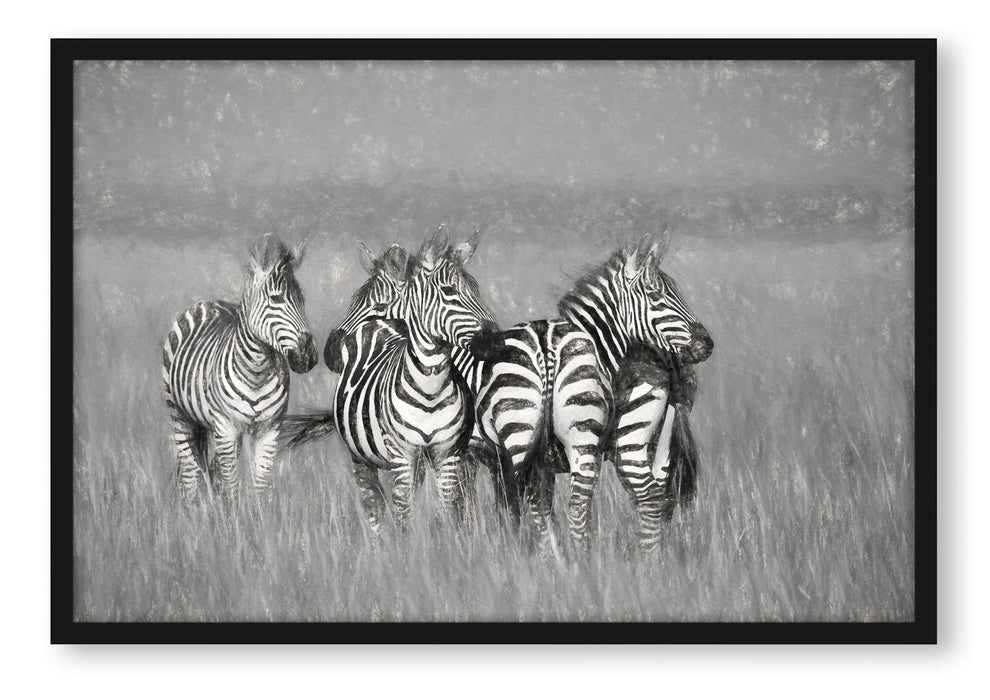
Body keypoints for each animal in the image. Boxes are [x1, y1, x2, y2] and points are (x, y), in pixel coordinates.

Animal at [162, 233, 319, 500]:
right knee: (191, 475)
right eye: (276, 299)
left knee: (211, 471)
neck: (257, 371)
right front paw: (234, 513)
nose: (308, 356)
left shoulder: (270, 428)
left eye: (303, 300)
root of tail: (206, 302)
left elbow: (260, 485)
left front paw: (258, 513)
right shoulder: (226, 426)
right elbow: (231, 486)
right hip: (180, 415)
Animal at [320, 227, 503, 533]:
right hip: (362, 455)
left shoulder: (462, 454)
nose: (330, 352)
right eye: (352, 301)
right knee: (376, 505)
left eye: (379, 306)